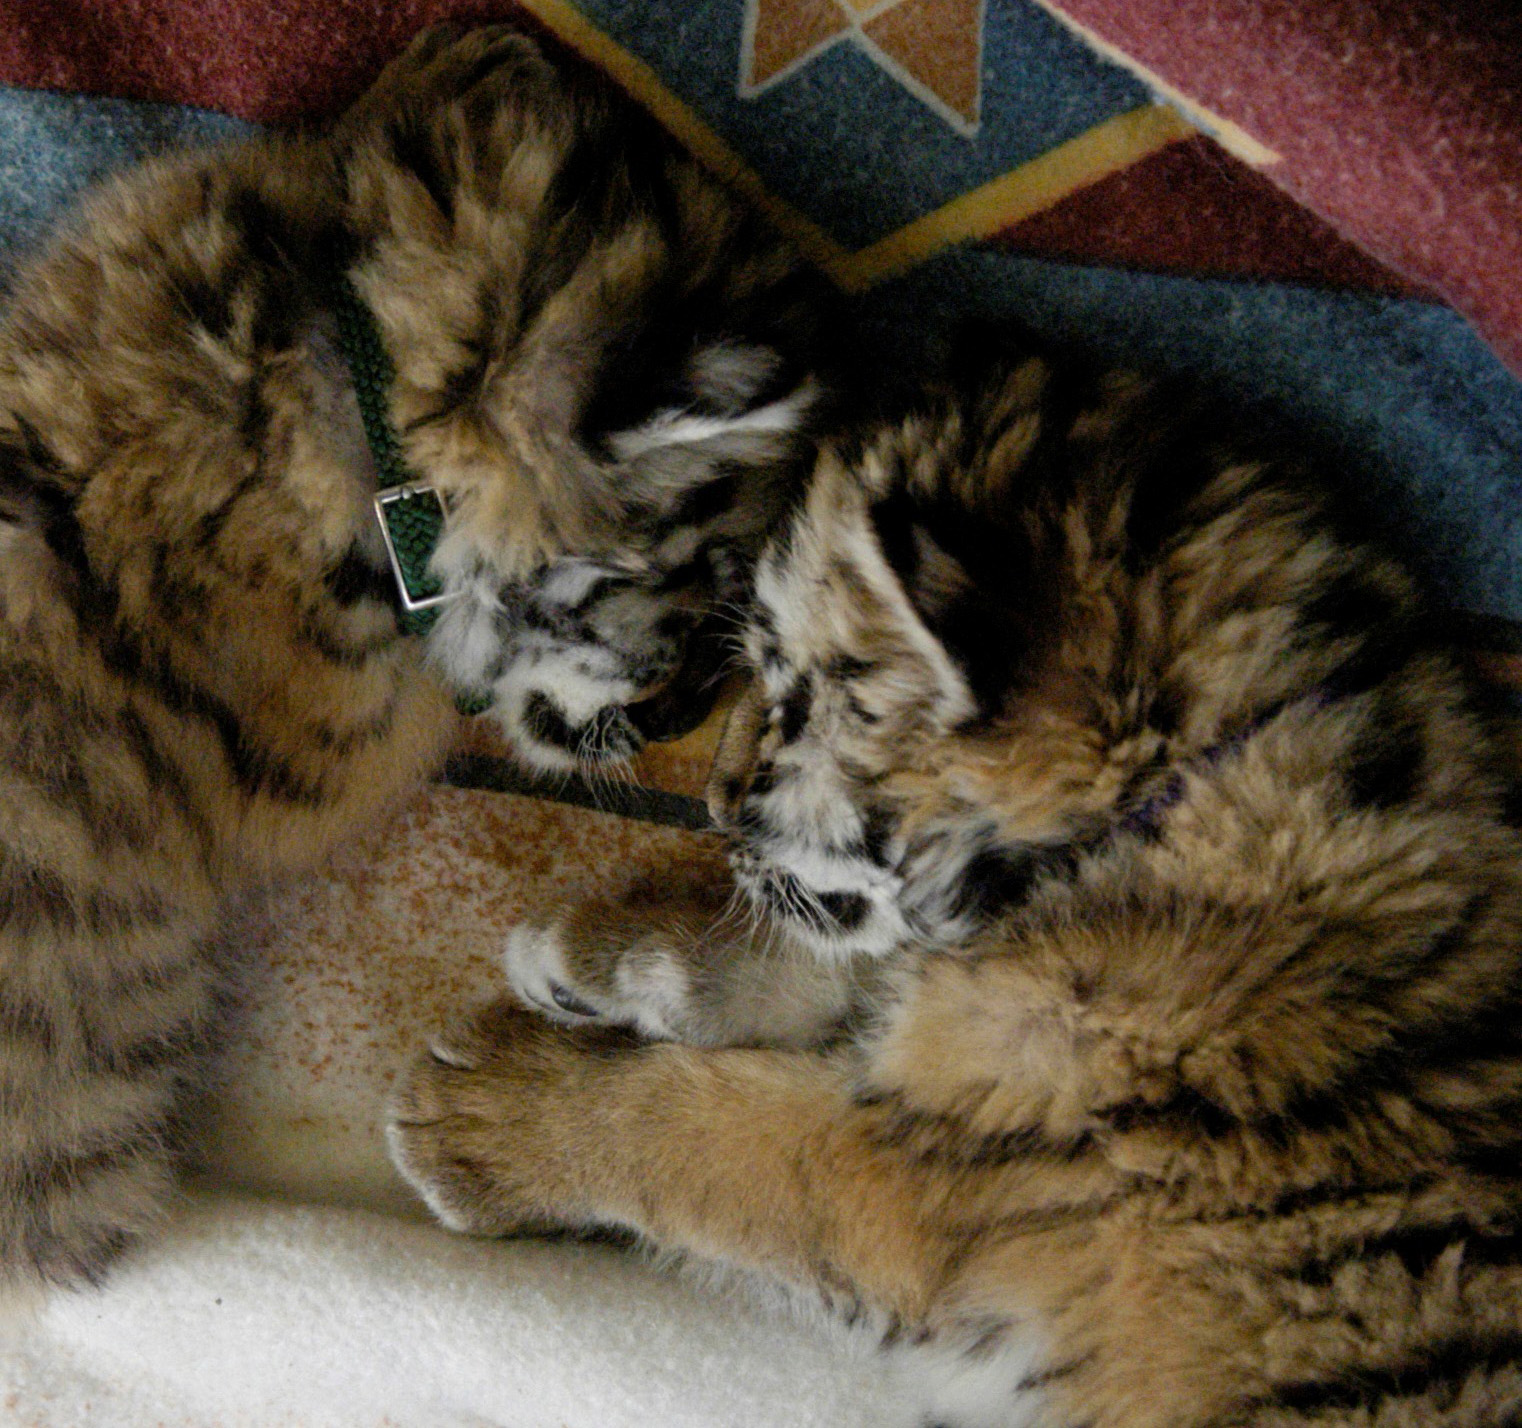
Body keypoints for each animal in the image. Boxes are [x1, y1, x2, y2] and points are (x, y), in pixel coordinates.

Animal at [390, 346, 1522, 1427]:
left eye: (788, 704)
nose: (709, 799)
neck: (1179, 811)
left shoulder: (940, 1176)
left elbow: (714, 1131)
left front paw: (482, 1111)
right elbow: (859, 960)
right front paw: (604, 958)